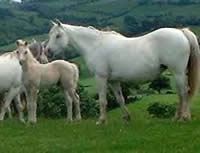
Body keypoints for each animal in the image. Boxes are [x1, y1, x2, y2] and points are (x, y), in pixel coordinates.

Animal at [45, 19, 200, 124]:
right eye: (50, 35)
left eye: (58, 35)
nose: (48, 51)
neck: (95, 45)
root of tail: (180, 32)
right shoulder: (113, 81)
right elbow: (120, 99)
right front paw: (126, 118)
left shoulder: (101, 78)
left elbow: (102, 100)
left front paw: (101, 121)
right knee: (181, 94)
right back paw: (177, 117)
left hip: (178, 72)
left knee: (184, 92)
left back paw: (184, 117)